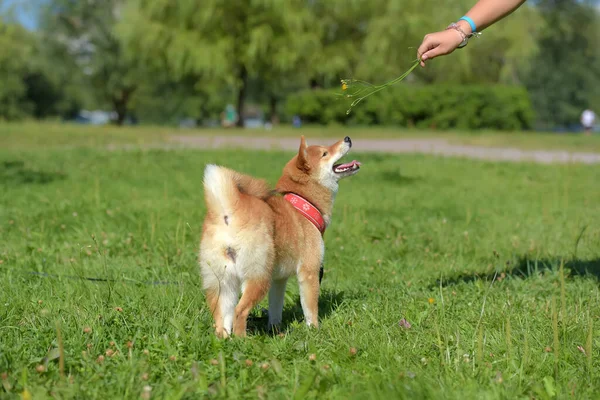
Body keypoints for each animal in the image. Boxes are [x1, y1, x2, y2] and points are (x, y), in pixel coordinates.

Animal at [200, 136, 360, 336]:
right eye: (325, 153)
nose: (347, 138)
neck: (305, 204)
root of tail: (228, 214)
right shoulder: (309, 271)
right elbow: (310, 309)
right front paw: (314, 331)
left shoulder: (279, 280)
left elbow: (275, 309)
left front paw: (275, 331)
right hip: (258, 276)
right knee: (240, 311)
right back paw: (243, 339)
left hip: (224, 281)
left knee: (222, 318)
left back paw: (226, 338)